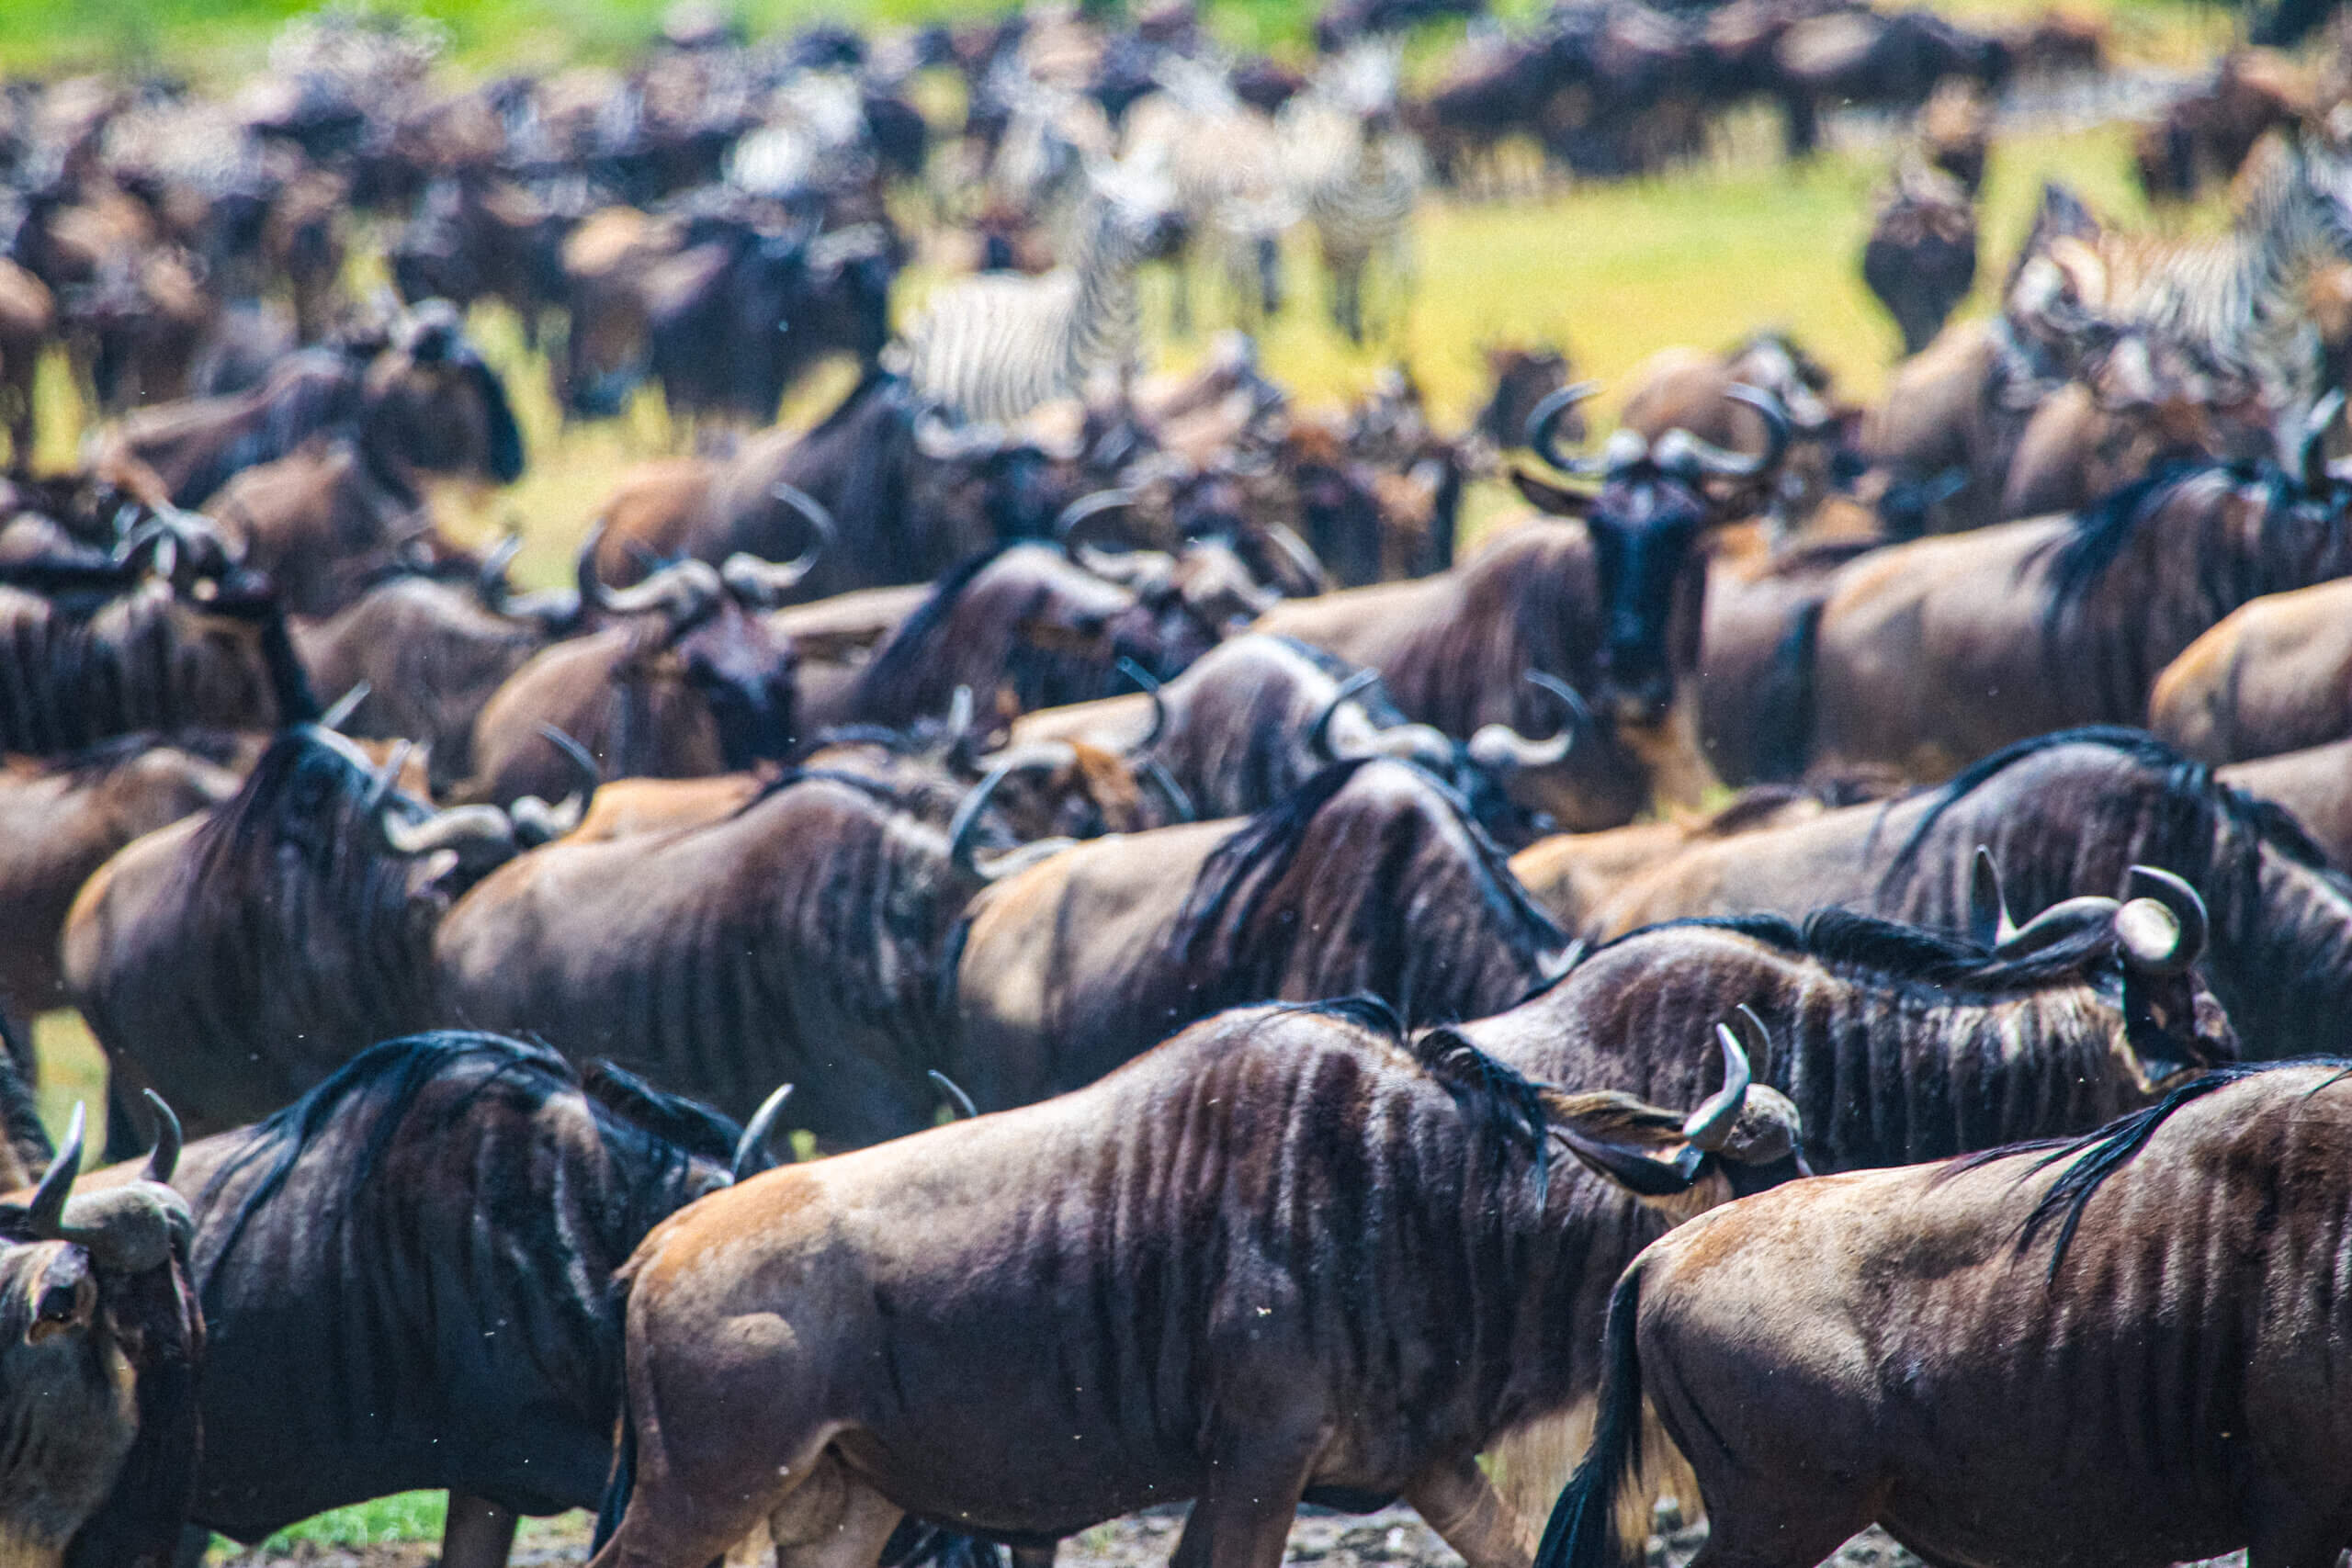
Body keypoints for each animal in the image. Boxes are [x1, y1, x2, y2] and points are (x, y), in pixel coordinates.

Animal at [1279, 43, 1420, 345]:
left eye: (1393, 91)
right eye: (1354, 96)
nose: (1372, 124)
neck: (1372, 178)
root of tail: (1319, 104)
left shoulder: (1389, 234)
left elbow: (1384, 278)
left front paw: (1381, 326)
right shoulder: (1345, 232)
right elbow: (1349, 274)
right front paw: (1351, 325)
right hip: (1330, 231)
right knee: (1336, 267)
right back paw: (1339, 317)